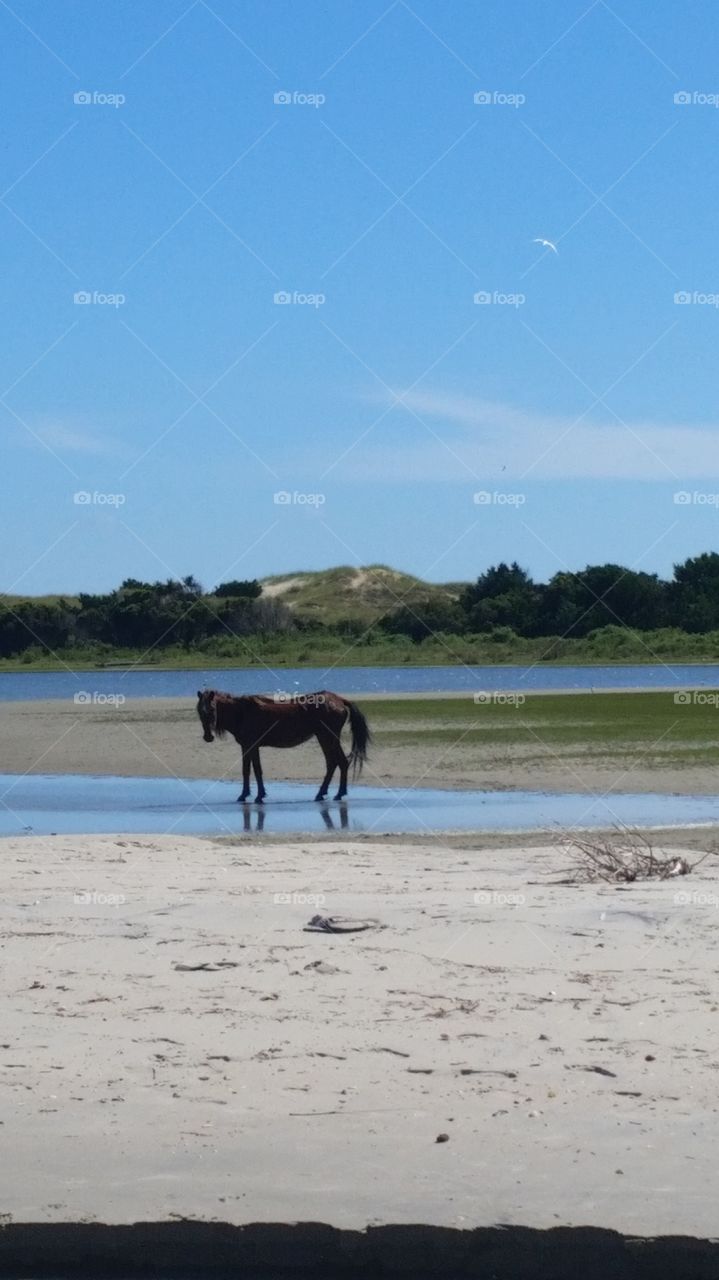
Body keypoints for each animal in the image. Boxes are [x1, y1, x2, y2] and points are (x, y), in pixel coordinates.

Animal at [196, 689, 371, 803]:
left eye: (211, 709)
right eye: (199, 710)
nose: (208, 737)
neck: (242, 713)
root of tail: (339, 700)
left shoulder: (252, 745)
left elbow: (255, 770)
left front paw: (257, 796)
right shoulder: (248, 746)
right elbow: (248, 770)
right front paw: (247, 795)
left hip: (328, 737)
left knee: (338, 762)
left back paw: (336, 794)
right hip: (325, 738)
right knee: (334, 763)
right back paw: (325, 793)